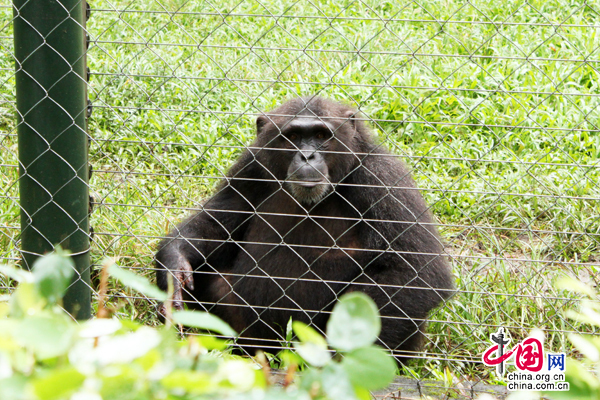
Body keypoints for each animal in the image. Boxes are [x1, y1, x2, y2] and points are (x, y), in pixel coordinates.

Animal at [156, 97, 454, 360]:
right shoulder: (251, 167)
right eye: (293, 136)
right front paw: (173, 267)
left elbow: (415, 271)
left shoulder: (383, 179)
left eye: (321, 135)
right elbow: (218, 222)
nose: (307, 155)